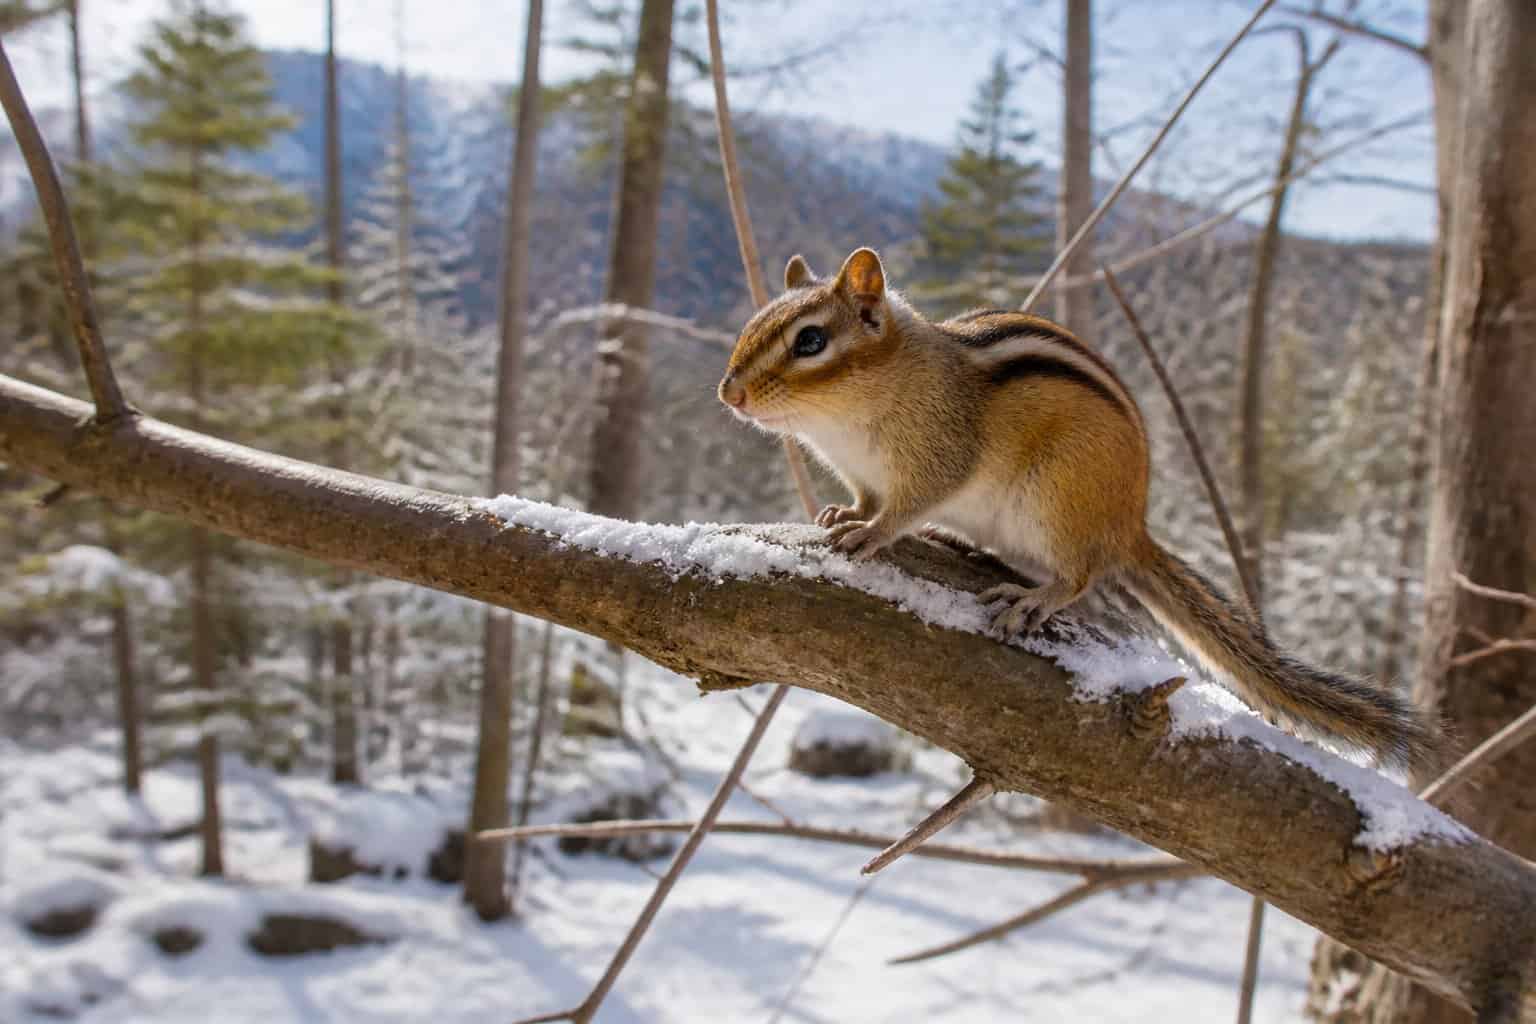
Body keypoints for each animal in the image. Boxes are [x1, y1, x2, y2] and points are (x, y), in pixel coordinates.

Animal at [718, 246, 1438, 772]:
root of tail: (1130, 527)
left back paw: (1032, 598)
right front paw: (844, 516)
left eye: (811, 342)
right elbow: (865, 498)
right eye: (753, 325)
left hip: (1056, 503)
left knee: (1081, 576)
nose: (730, 394)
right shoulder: (862, 473)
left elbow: (906, 508)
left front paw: (869, 534)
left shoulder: (938, 458)